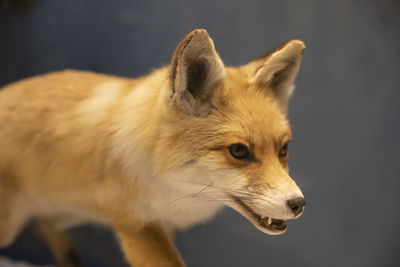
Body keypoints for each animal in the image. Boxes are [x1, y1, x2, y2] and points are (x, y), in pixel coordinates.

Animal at [0, 28, 306, 266]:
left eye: (283, 150)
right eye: (239, 151)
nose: (299, 204)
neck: (167, 185)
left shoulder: (164, 225)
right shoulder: (136, 225)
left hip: (64, 215)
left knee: (46, 226)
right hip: (11, 224)